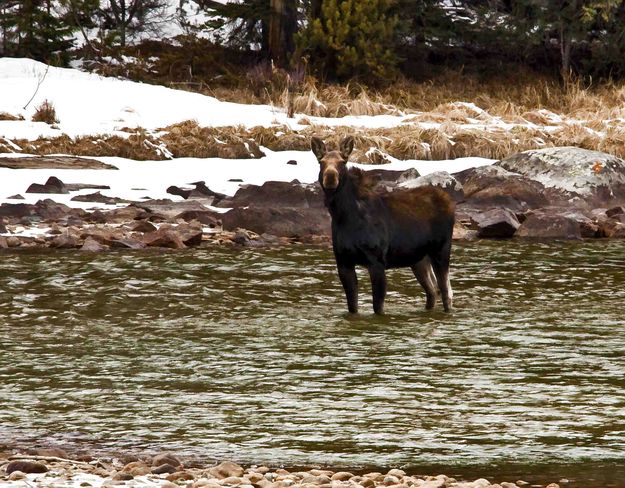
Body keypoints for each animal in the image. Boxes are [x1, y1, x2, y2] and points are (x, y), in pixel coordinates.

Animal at [310, 135, 454, 314]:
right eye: (321, 162)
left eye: (343, 162)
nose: (330, 177)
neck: (343, 216)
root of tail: (449, 202)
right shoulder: (343, 262)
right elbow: (352, 307)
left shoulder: (377, 261)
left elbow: (378, 306)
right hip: (418, 259)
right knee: (433, 290)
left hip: (440, 250)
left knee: (446, 292)